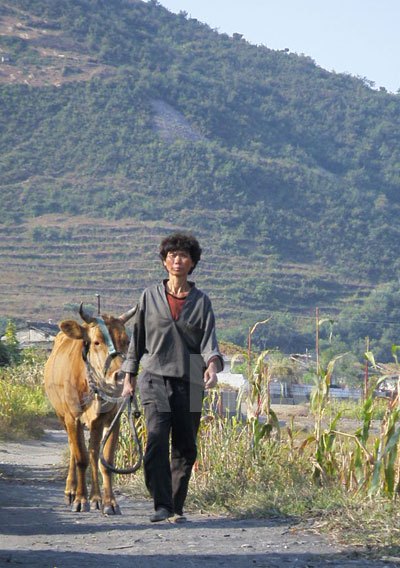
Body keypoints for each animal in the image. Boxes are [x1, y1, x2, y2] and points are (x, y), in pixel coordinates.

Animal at [44, 306, 136, 516]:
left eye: (127, 341)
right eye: (96, 342)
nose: (121, 376)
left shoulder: (112, 418)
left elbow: (105, 460)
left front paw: (110, 502)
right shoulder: (72, 417)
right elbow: (81, 458)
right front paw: (80, 499)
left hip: (95, 424)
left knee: (94, 452)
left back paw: (96, 498)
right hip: (62, 416)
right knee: (74, 449)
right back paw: (71, 491)